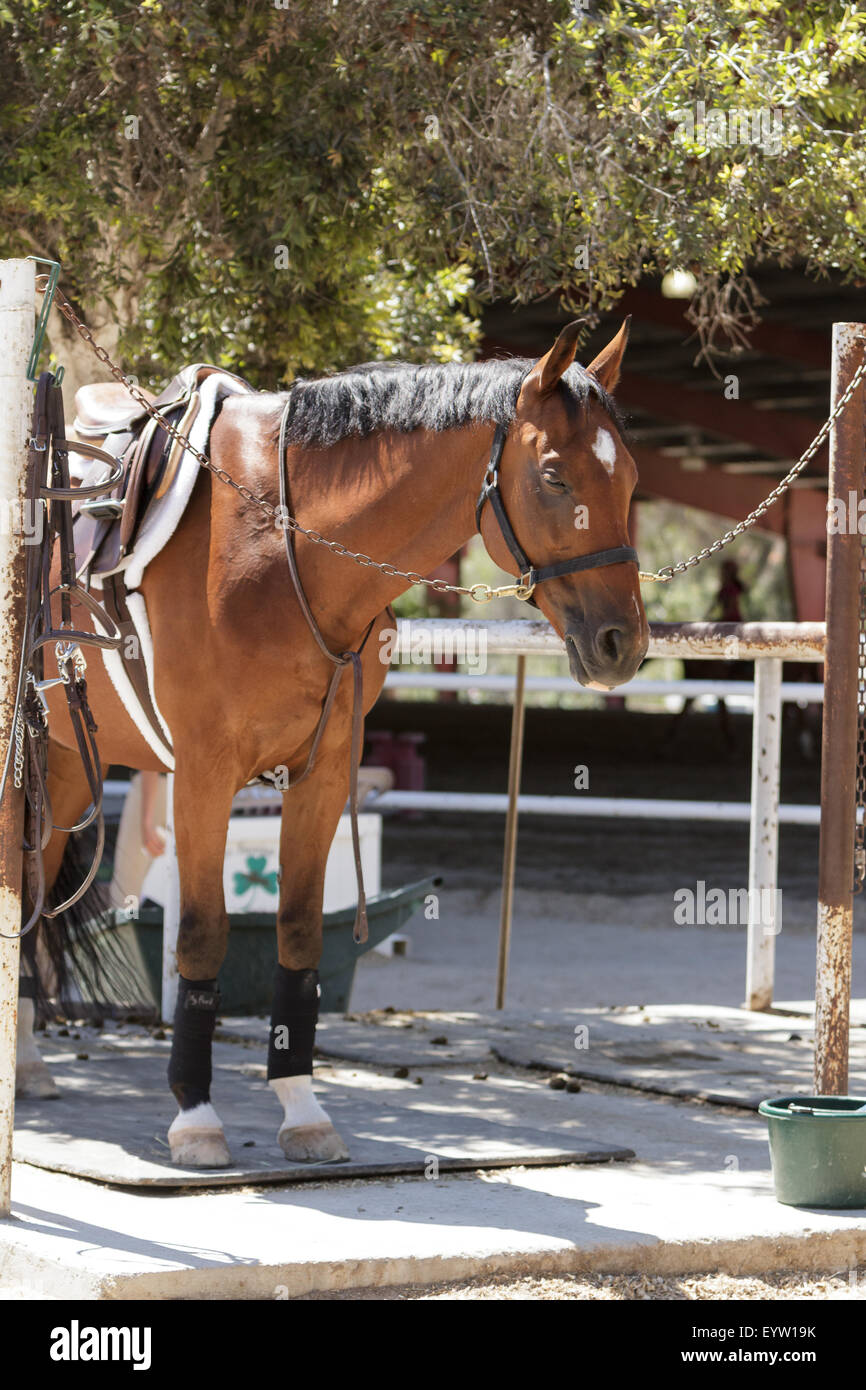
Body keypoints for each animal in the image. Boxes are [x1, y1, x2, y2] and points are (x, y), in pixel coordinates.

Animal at [16, 319, 647, 1167]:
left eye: (631, 476)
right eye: (554, 477)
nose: (622, 644)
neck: (285, 545)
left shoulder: (319, 776)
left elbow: (299, 930)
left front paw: (302, 1107)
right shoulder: (203, 776)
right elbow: (204, 937)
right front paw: (196, 1115)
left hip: (63, 765)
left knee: (32, 877)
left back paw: (26, 1062)